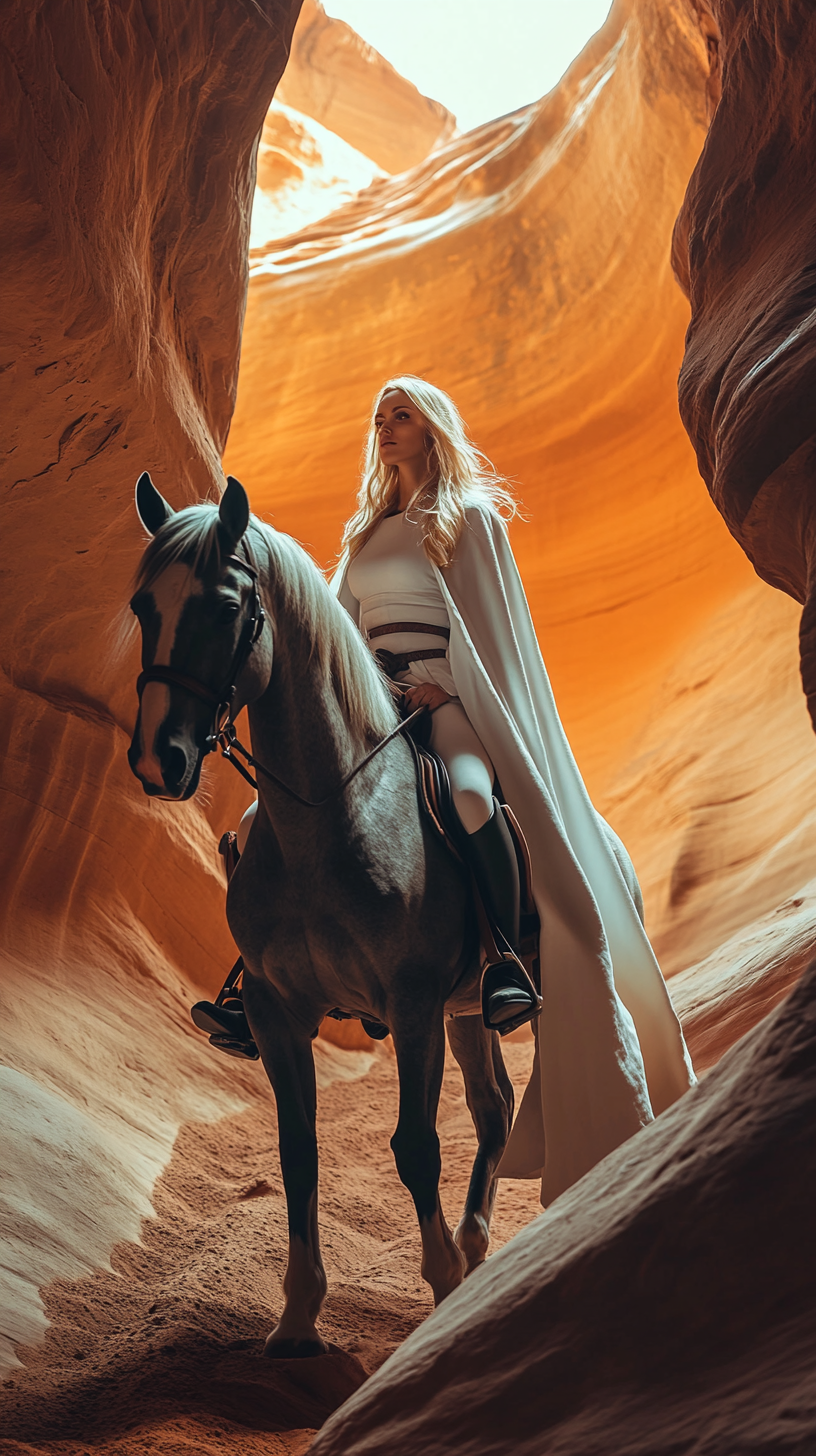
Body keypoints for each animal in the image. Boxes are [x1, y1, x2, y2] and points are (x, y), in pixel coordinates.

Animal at [126, 471, 515, 1356]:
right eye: (142, 607)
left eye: (225, 609)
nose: (158, 760)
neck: (328, 820)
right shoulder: (276, 1012)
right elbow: (297, 1150)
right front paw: (299, 1317)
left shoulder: (411, 1005)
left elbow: (415, 1147)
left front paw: (442, 1289)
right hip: (464, 1011)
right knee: (494, 1104)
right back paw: (475, 1247)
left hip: (473, 1001)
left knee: (489, 1108)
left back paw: (471, 1255)